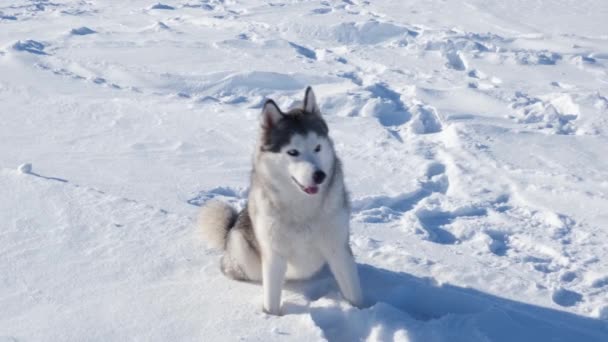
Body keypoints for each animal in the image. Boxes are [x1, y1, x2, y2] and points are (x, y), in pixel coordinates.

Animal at [198, 86, 360, 316]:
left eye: (318, 147)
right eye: (293, 152)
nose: (319, 176)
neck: (302, 206)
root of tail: (230, 228)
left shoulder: (338, 248)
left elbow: (355, 294)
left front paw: (365, 311)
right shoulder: (274, 254)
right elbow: (272, 300)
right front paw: (271, 318)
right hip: (243, 249)